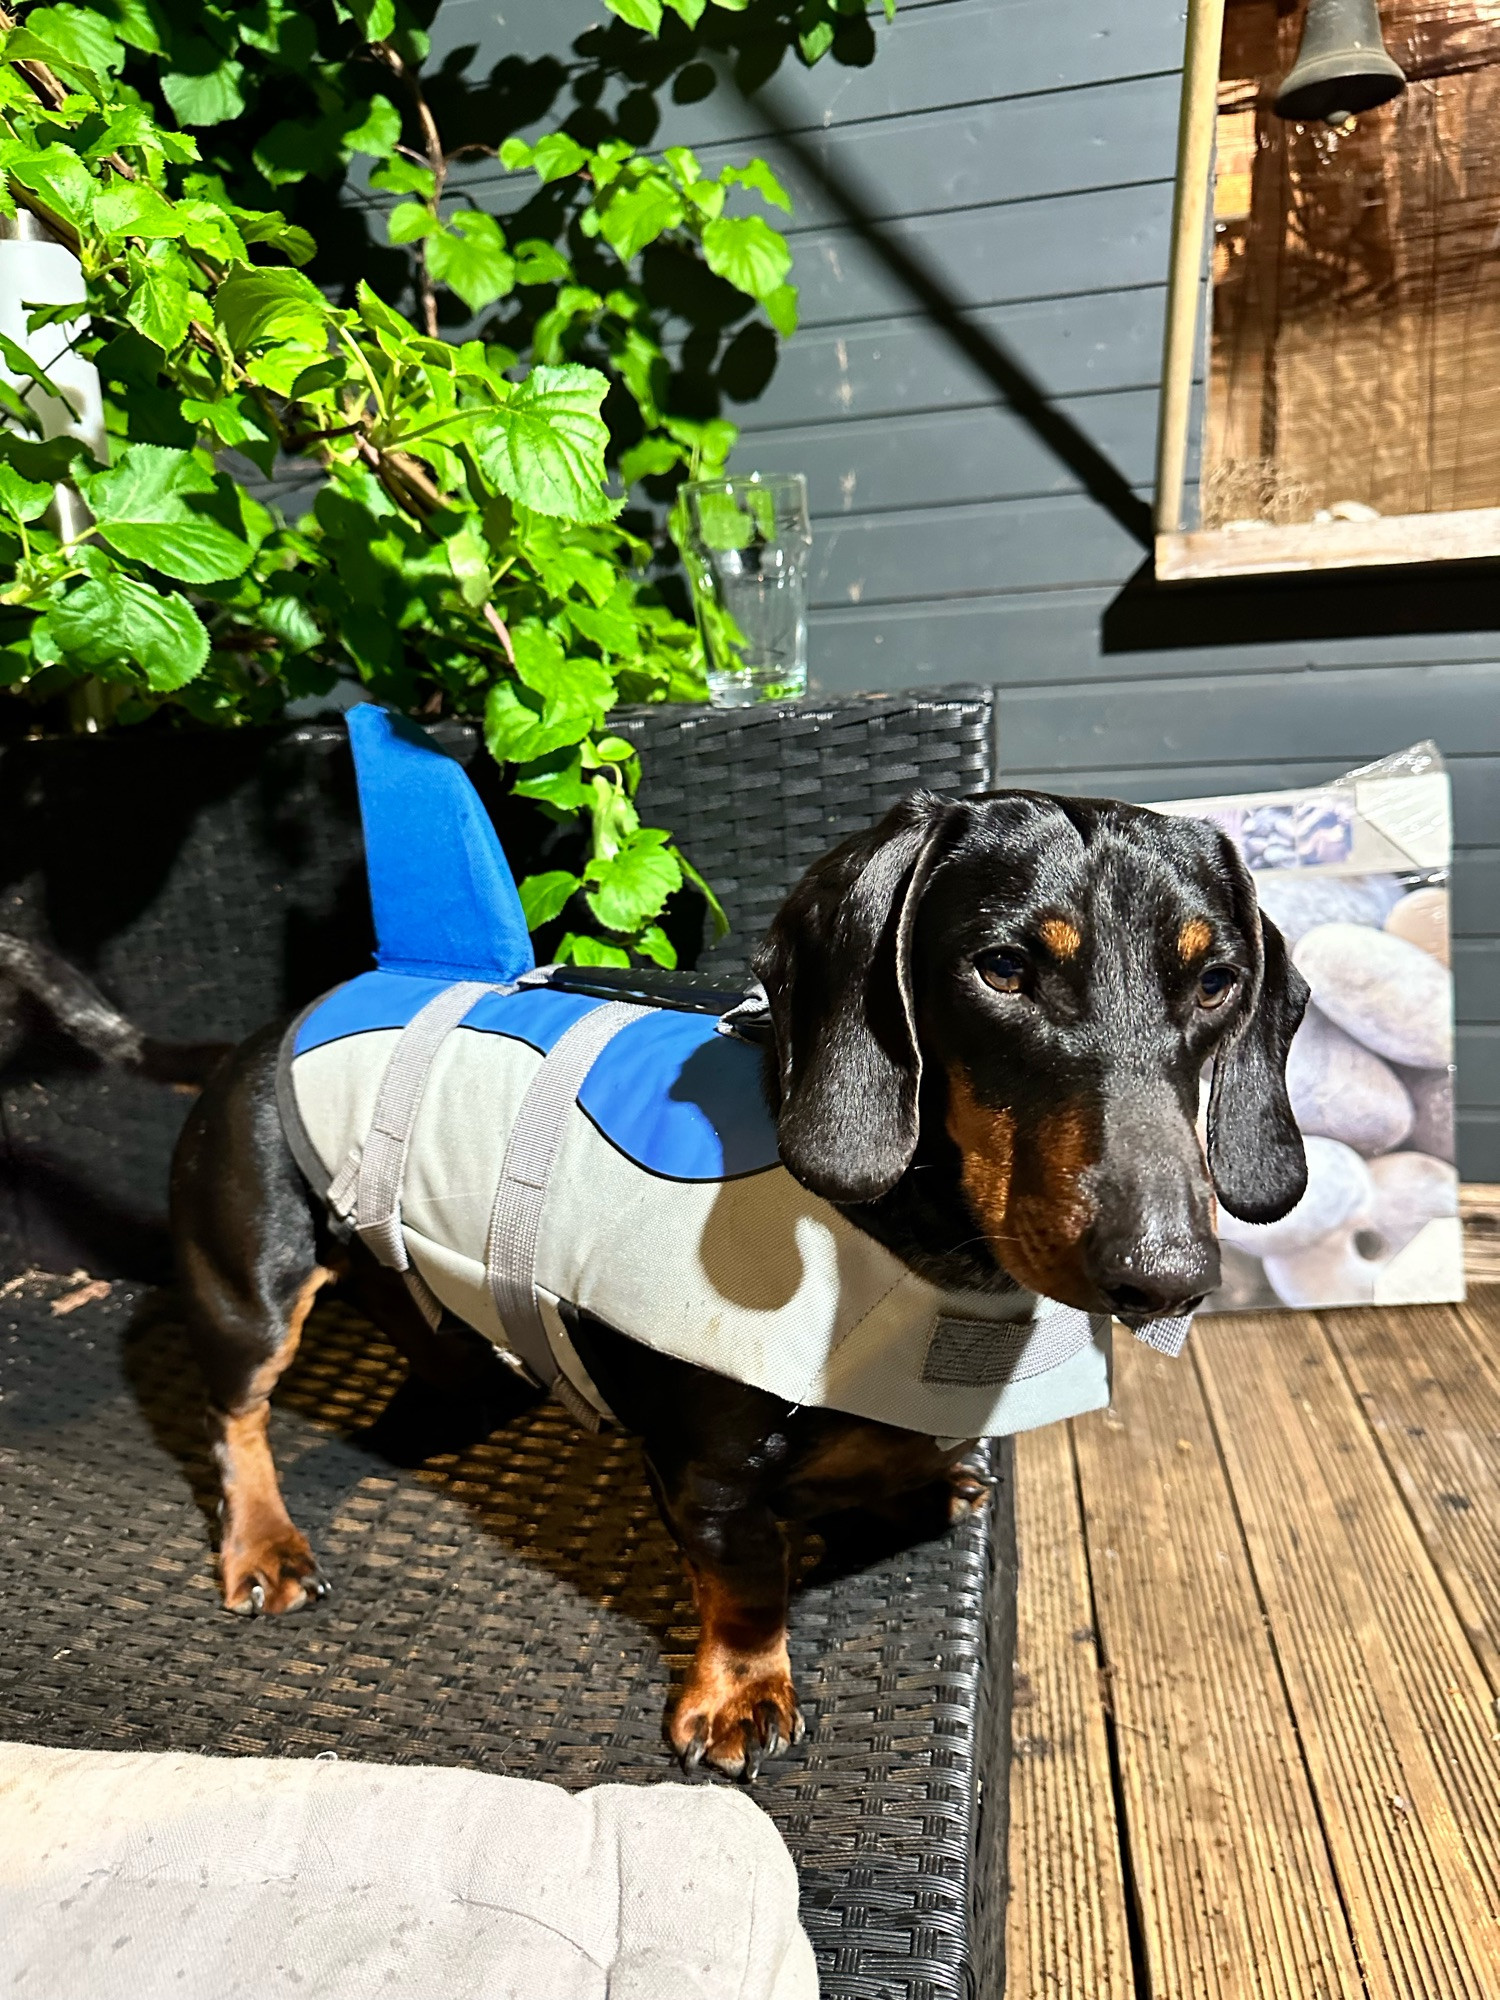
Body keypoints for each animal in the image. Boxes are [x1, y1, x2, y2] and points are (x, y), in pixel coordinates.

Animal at [0, 788, 1312, 1776]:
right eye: (1000, 967)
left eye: (1216, 983)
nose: (1165, 1277)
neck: (909, 1243)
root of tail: (260, 1032)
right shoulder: (708, 1473)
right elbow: (746, 1581)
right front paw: (738, 1697)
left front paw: (920, 1474)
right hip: (250, 1286)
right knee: (235, 1418)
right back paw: (263, 1544)